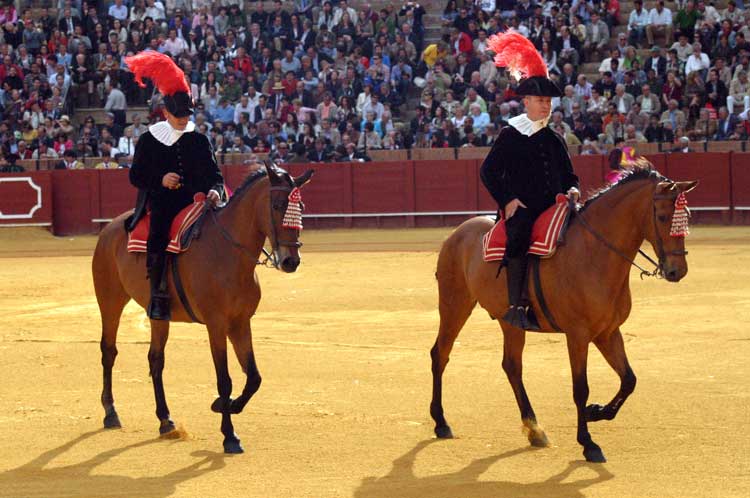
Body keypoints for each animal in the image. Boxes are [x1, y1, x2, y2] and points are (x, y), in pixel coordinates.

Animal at [93, 161, 314, 454]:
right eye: (277, 206)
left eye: (300, 207)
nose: (291, 261)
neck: (228, 253)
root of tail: (111, 228)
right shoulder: (216, 325)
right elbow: (225, 379)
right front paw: (230, 436)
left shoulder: (241, 322)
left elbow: (254, 377)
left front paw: (225, 405)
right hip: (110, 300)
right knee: (109, 351)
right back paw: (110, 412)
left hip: (158, 315)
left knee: (156, 359)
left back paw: (165, 420)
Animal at [432, 168, 704, 462]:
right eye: (663, 216)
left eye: (687, 216)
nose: (677, 270)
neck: (594, 254)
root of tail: (458, 232)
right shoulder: (578, 335)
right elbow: (580, 388)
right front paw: (588, 442)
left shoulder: (608, 332)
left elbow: (629, 380)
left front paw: (596, 412)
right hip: (454, 304)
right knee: (440, 354)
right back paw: (441, 422)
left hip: (509, 322)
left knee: (512, 365)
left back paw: (534, 429)